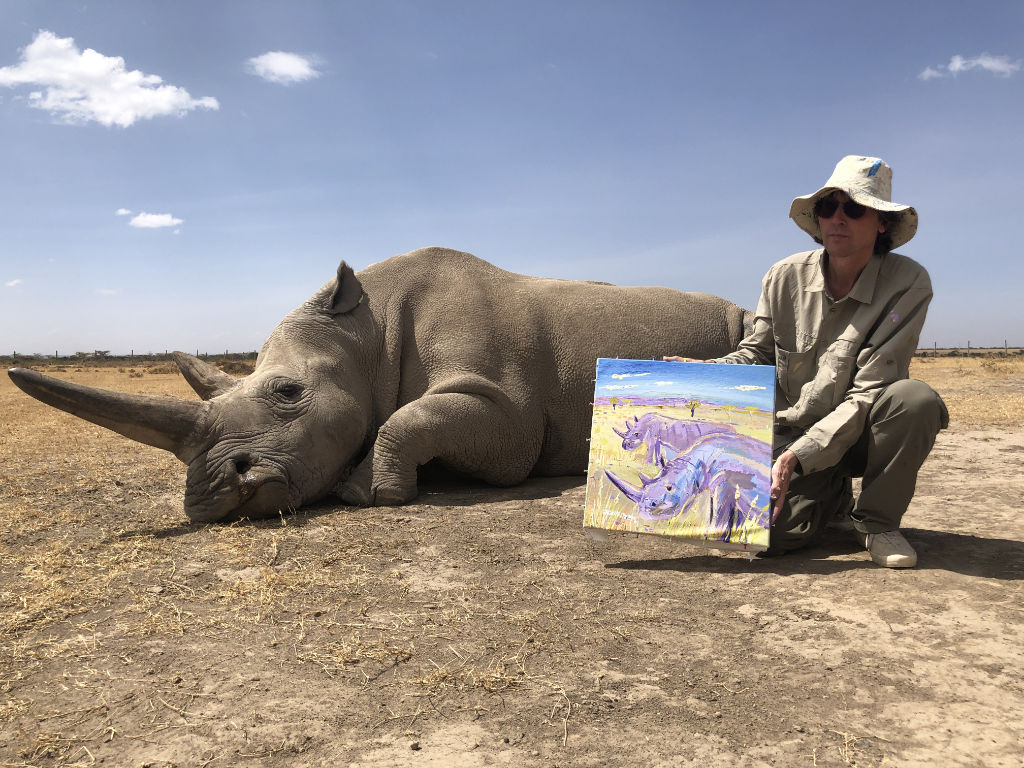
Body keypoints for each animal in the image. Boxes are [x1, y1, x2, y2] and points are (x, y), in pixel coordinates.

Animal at [606, 436, 770, 544]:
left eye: (670, 488)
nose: (645, 510)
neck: (696, 463)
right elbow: (735, 523)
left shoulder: (723, 483)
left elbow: (719, 522)